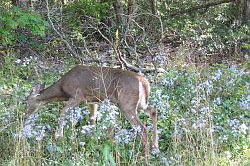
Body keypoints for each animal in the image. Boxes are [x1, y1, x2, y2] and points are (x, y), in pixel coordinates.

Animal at [25, 65, 160, 163]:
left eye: (26, 101)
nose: (25, 115)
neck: (62, 90)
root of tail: (144, 82)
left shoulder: (77, 96)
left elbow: (63, 112)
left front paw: (58, 136)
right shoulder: (92, 100)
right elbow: (93, 119)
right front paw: (93, 138)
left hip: (126, 103)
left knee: (142, 128)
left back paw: (146, 157)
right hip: (140, 103)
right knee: (153, 111)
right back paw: (155, 147)